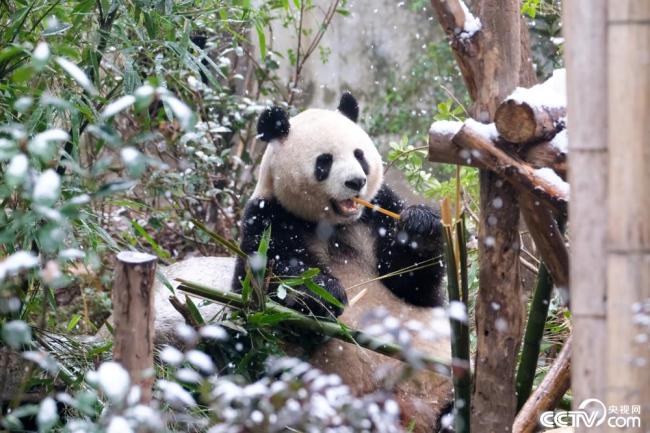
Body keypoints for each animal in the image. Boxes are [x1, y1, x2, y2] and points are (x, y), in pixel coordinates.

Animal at [151, 93, 450, 430]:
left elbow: (412, 283)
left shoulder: (376, 211)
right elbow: (267, 288)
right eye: (325, 161)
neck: (334, 224)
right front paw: (323, 293)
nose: (356, 182)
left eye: (359, 155)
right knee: (231, 349)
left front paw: (421, 225)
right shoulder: (267, 218)